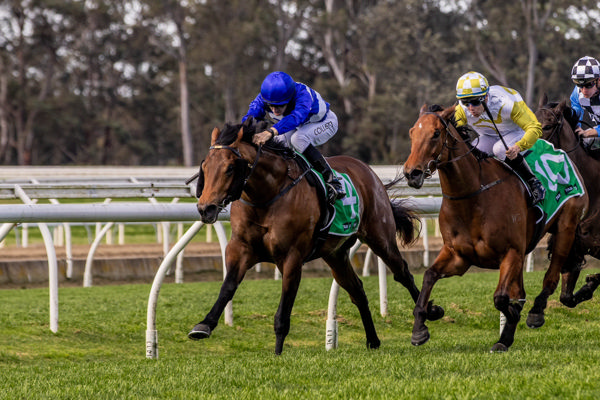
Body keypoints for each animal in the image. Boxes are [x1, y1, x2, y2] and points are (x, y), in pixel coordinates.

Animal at [189, 118, 446, 354]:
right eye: (205, 167)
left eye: (230, 168)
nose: (205, 208)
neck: (267, 197)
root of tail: (369, 173)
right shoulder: (240, 249)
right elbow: (228, 286)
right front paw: (203, 325)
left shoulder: (292, 257)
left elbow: (284, 310)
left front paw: (278, 353)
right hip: (335, 254)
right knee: (357, 290)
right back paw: (373, 341)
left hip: (379, 237)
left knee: (402, 273)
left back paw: (427, 318)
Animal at [400, 104, 588, 352]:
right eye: (412, 133)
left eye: (436, 134)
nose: (411, 173)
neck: (473, 197)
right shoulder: (458, 256)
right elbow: (429, 276)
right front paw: (422, 325)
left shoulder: (511, 252)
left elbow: (500, 298)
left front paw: (512, 319)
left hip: (566, 226)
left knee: (551, 276)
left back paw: (535, 313)